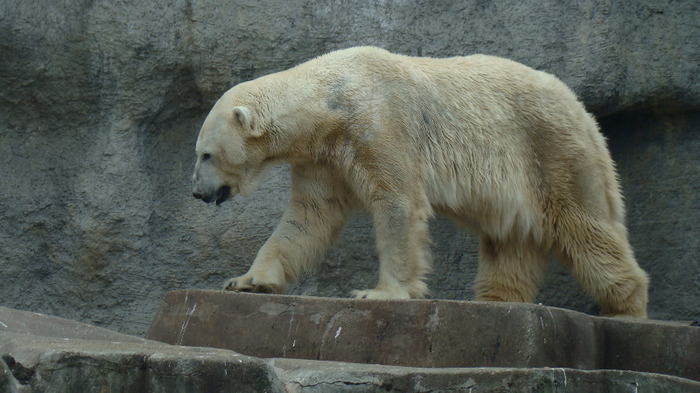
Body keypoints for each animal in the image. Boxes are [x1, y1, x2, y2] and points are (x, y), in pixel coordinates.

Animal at [193, 46, 652, 316]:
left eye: (205, 154)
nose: (197, 192)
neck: (331, 101)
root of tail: (584, 112)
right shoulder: (321, 157)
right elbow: (307, 217)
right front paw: (248, 280)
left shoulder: (378, 124)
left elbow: (396, 201)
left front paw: (380, 292)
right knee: (510, 240)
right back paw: (493, 301)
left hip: (552, 153)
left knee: (585, 228)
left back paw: (626, 309)